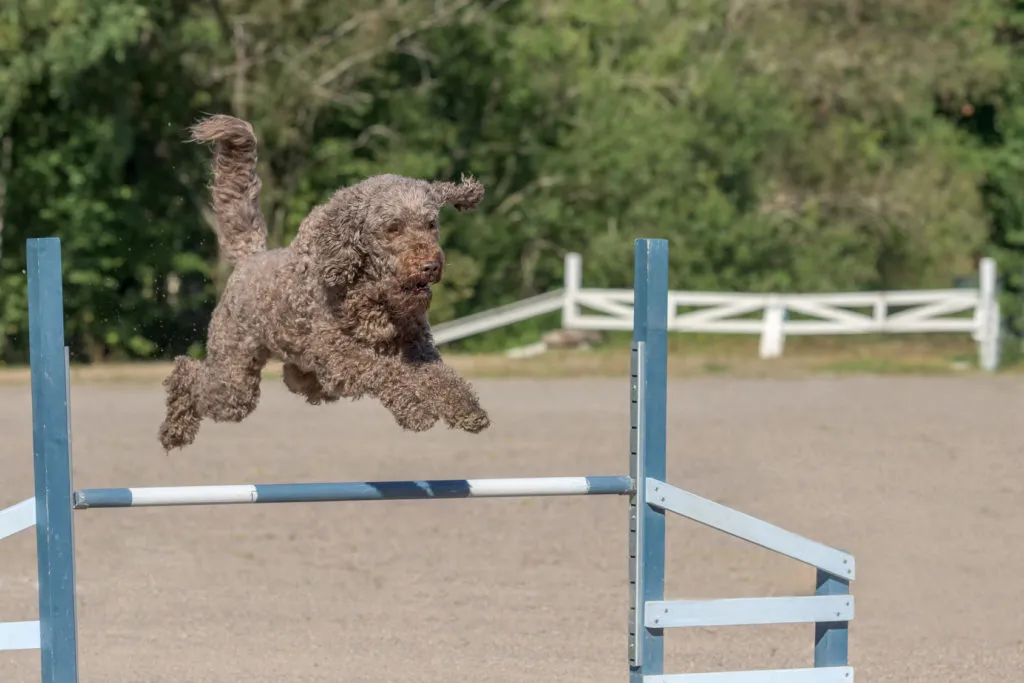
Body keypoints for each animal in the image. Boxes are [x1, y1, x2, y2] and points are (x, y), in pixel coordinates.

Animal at [159, 114, 491, 450]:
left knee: (294, 377)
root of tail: (250, 258)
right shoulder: (339, 353)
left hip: (294, 368)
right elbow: (386, 371)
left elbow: (441, 378)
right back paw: (175, 426)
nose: (431, 265)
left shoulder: (418, 348)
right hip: (234, 378)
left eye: (431, 223)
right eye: (393, 228)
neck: (371, 294)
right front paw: (414, 410)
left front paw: (465, 407)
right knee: (190, 373)